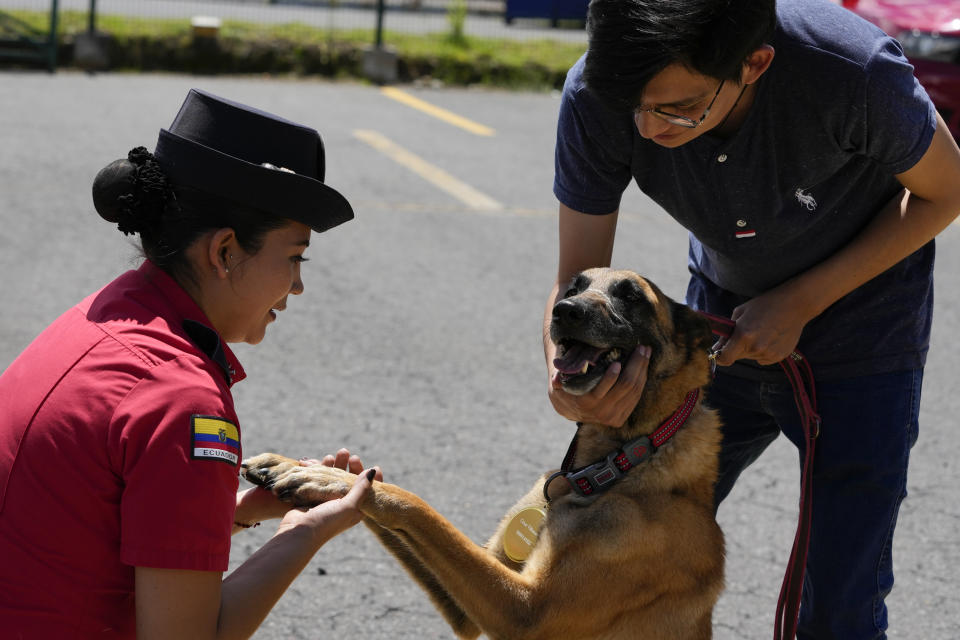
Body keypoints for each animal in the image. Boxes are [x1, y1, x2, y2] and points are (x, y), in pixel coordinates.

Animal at [244, 268, 724, 640]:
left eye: (631, 295)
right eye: (575, 286)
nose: (565, 311)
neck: (625, 459)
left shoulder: (527, 610)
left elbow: (418, 507)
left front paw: (332, 480)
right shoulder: (472, 605)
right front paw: (304, 468)